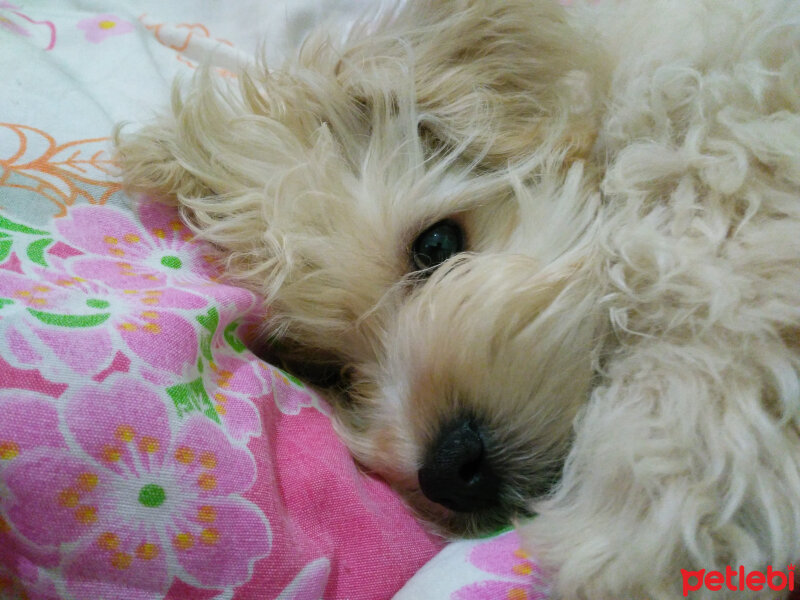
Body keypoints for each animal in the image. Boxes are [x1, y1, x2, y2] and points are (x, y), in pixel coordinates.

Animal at [115, 2, 800, 596]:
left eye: (437, 243)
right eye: (328, 371)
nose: (448, 472)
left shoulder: (722, 159)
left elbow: (708, 313)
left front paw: (636, 526)